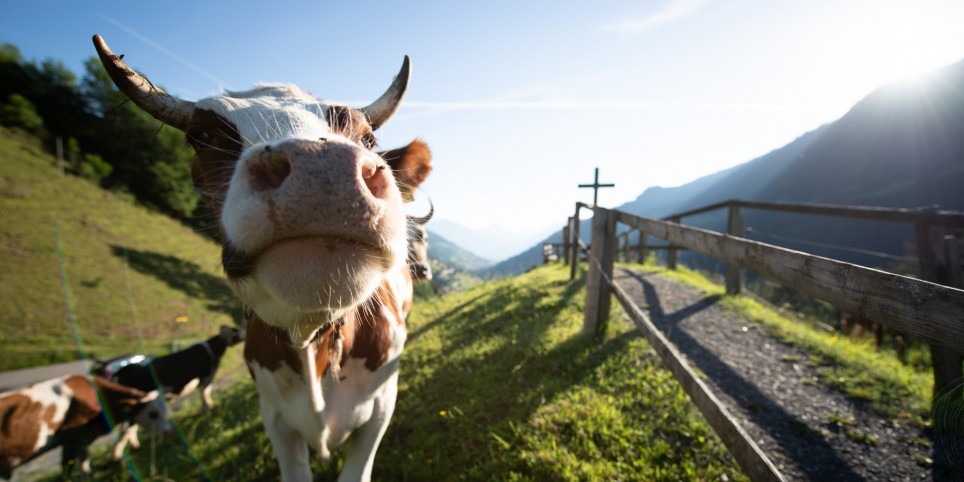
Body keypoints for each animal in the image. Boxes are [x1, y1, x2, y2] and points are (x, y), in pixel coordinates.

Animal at [0, 374, 169, 479]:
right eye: (153, 414)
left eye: (165, 410)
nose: (169, 431)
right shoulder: (72, 439)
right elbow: (69, 468)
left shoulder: (79, 440)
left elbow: (83, 466)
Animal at [110, 325, 244, 461]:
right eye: (235, 330)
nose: (243, 331)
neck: (212, 349)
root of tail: (122, 371)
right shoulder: (206, 377)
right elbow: (205, 394)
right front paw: (208, 408)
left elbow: (204, 394)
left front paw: (206, 408)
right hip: (139, 403)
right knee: (128, 428)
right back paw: (118, 454)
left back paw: (133, 447)